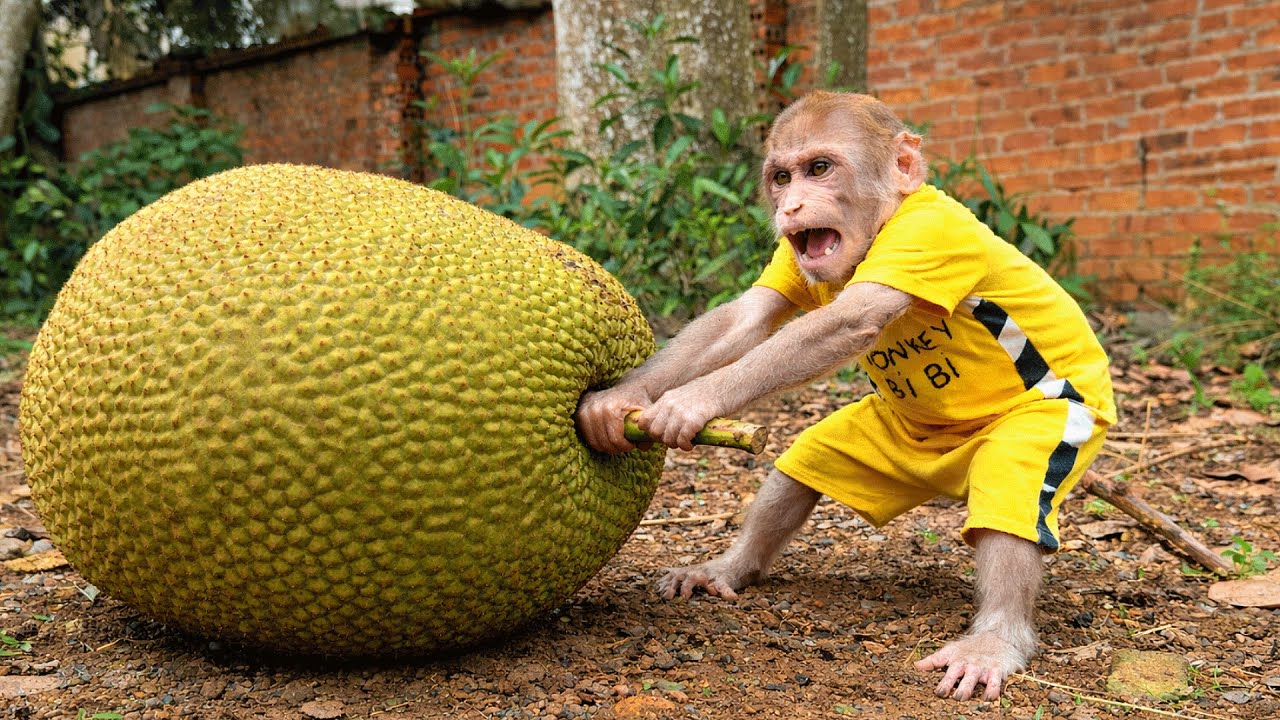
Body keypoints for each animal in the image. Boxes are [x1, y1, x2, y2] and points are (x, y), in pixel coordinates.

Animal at [575, 91, 1117, 701]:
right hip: (880, 445)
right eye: (781, 177)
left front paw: (691, 403)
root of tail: (949, 470)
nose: (791, 207)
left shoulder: (927, 239)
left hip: (1053, 427)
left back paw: (993, 642)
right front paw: (618, 399)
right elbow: (745, 317)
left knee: (1010, 495)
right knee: (799, 470)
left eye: (820, 169)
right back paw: (731, 568)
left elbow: (849, 316)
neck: (880, 228)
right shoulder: (789, 265)